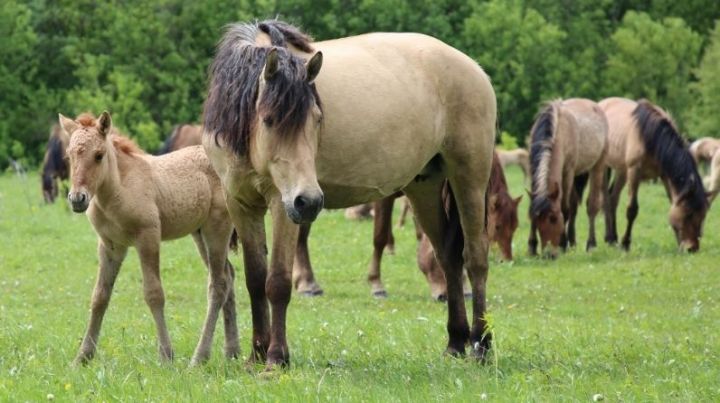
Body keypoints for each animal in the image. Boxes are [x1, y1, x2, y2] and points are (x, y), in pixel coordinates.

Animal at [59, 111, 238, 366]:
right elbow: (99, 296)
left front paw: (166, 355)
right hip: (200, 234)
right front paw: (83, 357)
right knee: (229, 276)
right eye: (70, 155)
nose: (77, 199)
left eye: (99, 155)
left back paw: (199, 358)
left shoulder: (148, 237)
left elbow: (154, 294)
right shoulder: (110, 245)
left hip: (217, 229)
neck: (117, 190)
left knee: (218, 284)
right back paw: (232, 351)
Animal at [202, 20, 496, 370]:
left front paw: (276, 357)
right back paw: (455, 342)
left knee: (475, 258)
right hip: (423, 186)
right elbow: (255, 280)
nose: (310, 201)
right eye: (269, 119)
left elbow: (278, 282)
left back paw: (481, 345)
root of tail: (474, 69)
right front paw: (256, 354)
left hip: (470, 178)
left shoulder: (281, 204)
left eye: (317, 119)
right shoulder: (241, 204)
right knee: (449, 258)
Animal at [528, 98, 608, 258]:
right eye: (538, 219)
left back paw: (590, 244)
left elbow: (564, 209)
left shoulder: (568, 172)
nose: (549, 254)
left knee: (592, 206)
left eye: (553, 218)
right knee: (574, 206)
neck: (558, 131)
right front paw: (532, 247)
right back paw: (573, 241)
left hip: (598, 166)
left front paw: (562, 244)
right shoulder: (533, 170)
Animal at [600, 97, 708, 252]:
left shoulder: (664, 175)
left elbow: (672, 202)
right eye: (689, 214)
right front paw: (626, 243)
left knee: (613, 198)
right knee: (606, 198)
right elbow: (632, 210)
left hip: (622, 170)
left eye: (703, 215)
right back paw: (609, 237)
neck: (650, 136)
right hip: (605, 167)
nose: (692, 248)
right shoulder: (634, 171)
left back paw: (613, 239)